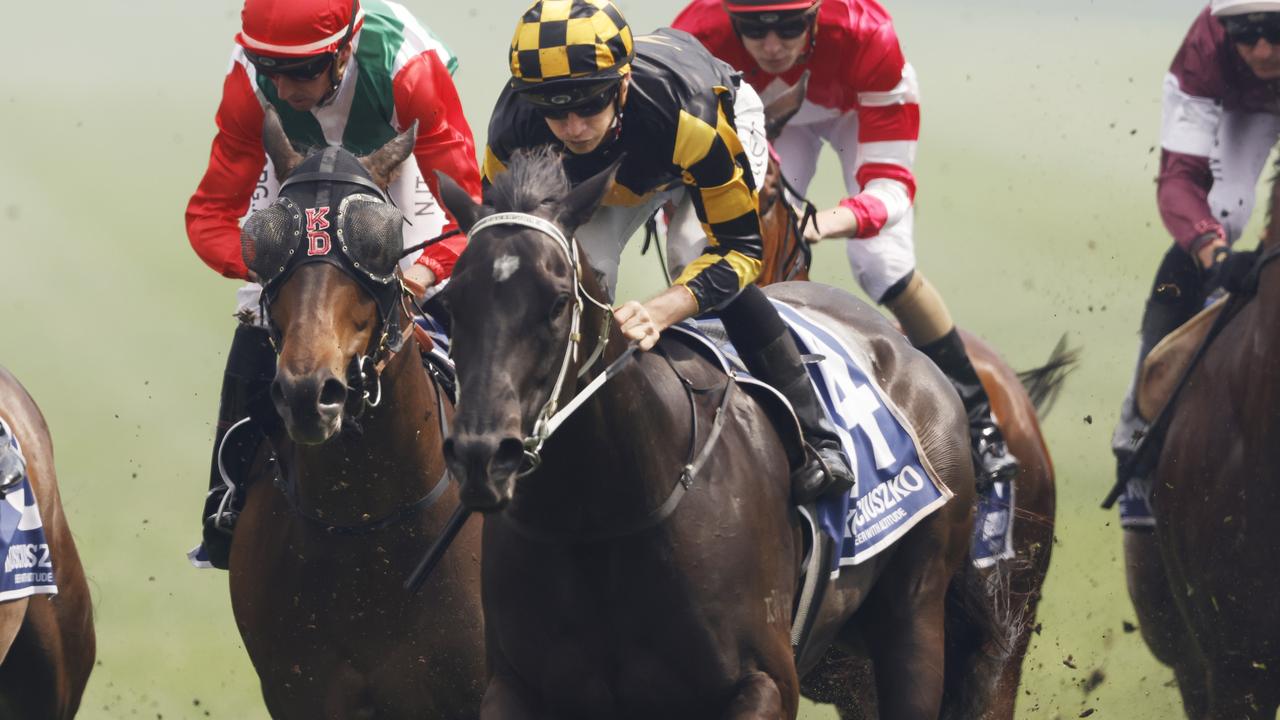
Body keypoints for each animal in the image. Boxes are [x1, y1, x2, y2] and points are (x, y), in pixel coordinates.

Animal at [435, 147, 1003, 717]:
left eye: (556, 303)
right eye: (452, 303)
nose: (483, 455)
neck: (603, 518)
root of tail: (907, 350)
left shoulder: (768, 681)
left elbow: (735, 250)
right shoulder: (514, 684)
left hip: (916, 613)